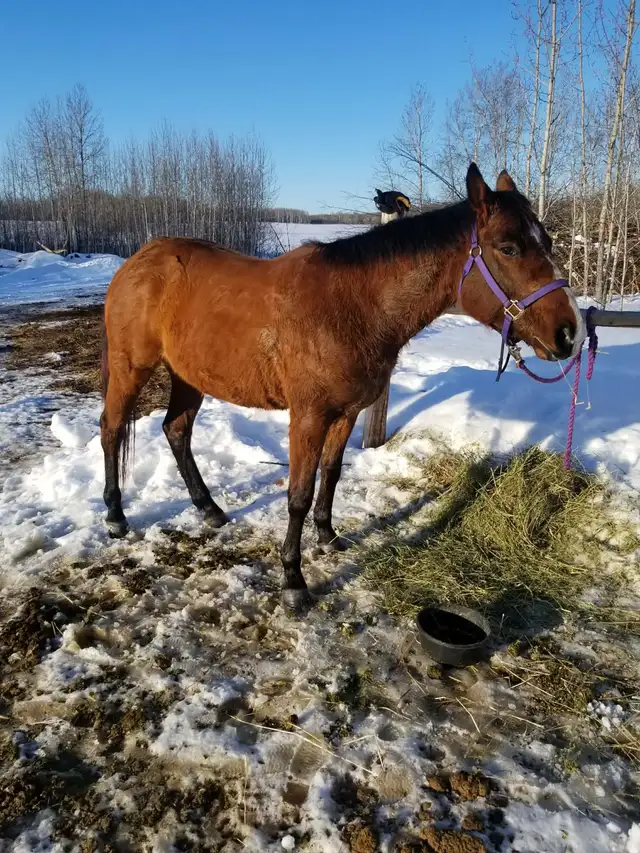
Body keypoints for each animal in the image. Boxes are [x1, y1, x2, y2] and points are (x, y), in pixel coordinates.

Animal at [100, 163, 585, 609]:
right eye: (508, 247)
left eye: (547, 243)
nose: (569, 334)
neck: (352, 307)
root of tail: (140, 259)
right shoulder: (308, 416)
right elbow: (298, 494)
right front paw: (293, 580)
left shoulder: (347, 412)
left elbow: (330, 475)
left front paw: (328, 536)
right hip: (131, 368)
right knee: (112, 429)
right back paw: (115, 515)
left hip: (188, 375)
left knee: (176, 430)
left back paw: (209, 509)